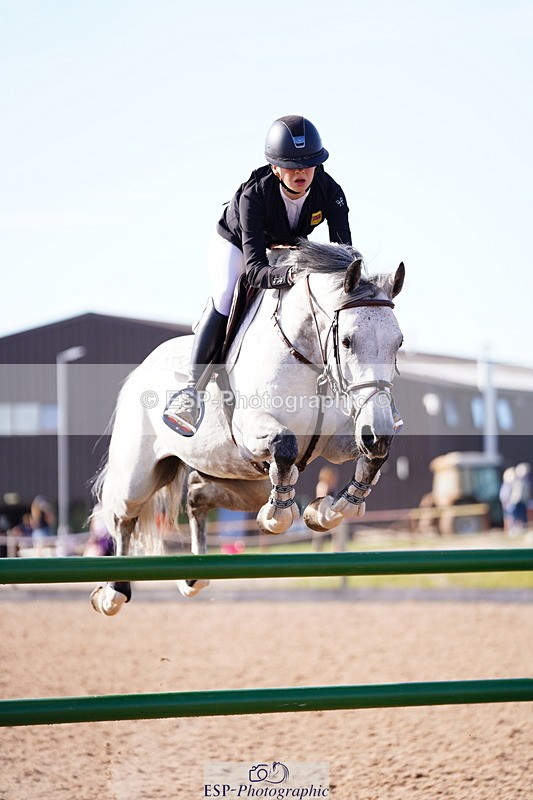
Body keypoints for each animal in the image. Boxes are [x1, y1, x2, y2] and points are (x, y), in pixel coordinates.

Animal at [90, 240, 405, 615]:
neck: (309, 358)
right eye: (346, 341)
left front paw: (329, 510)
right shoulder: (251, 431)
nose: (378, 430)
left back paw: (194, 577)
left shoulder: (337, 438)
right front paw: (276, 517)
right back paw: (112, 593)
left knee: (197, 496)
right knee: (123, 517)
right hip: (139, 474)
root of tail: (139, 370)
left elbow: (373, 457)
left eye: (399, 343)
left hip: (243, 477)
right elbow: (285, 445)